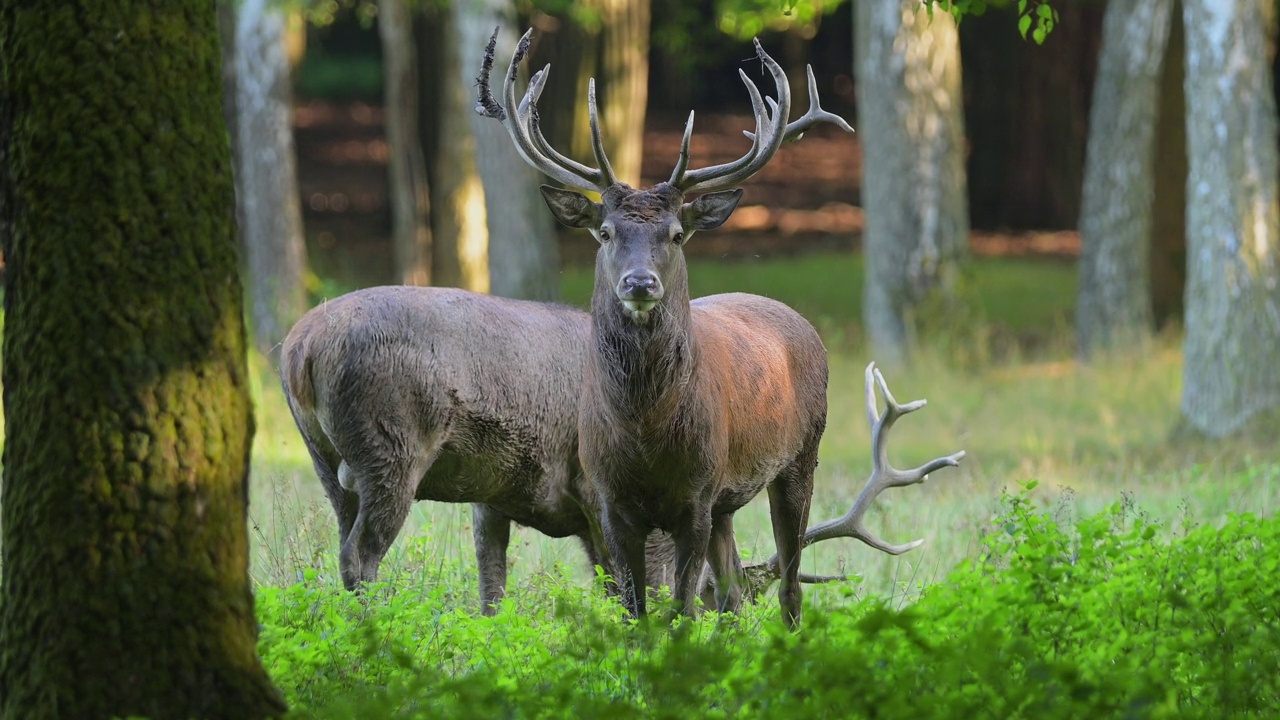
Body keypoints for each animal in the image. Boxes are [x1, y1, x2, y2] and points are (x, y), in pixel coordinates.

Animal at [478, 29, 860, 622]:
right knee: (732, 591)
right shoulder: (610, 500)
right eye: (605, 232)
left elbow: (680, 606)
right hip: (731, 499)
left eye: (677, 234)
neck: (646, 435)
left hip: (801, 457)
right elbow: (636, 610)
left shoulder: (697, 494)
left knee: (789, 584)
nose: (640, 283)